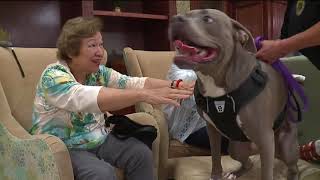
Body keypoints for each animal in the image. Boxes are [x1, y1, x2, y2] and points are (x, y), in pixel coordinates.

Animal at [169, 9, 298, 180]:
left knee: (294, 167)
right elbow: (215, 157)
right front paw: (216, 176)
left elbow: (266, 173)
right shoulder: (212, 130)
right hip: (236, 148)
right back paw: (234, 173)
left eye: (207, 19)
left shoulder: (265, 138)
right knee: (248, 163)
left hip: (284, 146)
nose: (174, 19)